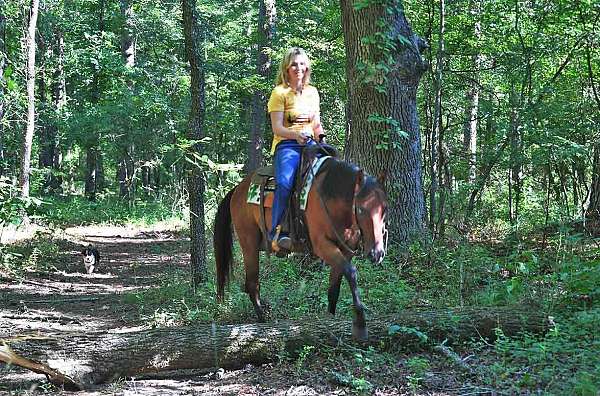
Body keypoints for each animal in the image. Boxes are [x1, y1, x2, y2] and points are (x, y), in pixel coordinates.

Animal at [213, 155, 386, 340]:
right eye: (360, 209)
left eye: (385, 208)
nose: (377, 253)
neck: (330, 197)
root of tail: (238, 189)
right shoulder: (322, 246)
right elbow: (351, 272)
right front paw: (360, 323)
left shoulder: (345, 251)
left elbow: (335, 287)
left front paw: (331, 319)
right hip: (249, 243)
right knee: (252, 284)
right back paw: (263, 321)